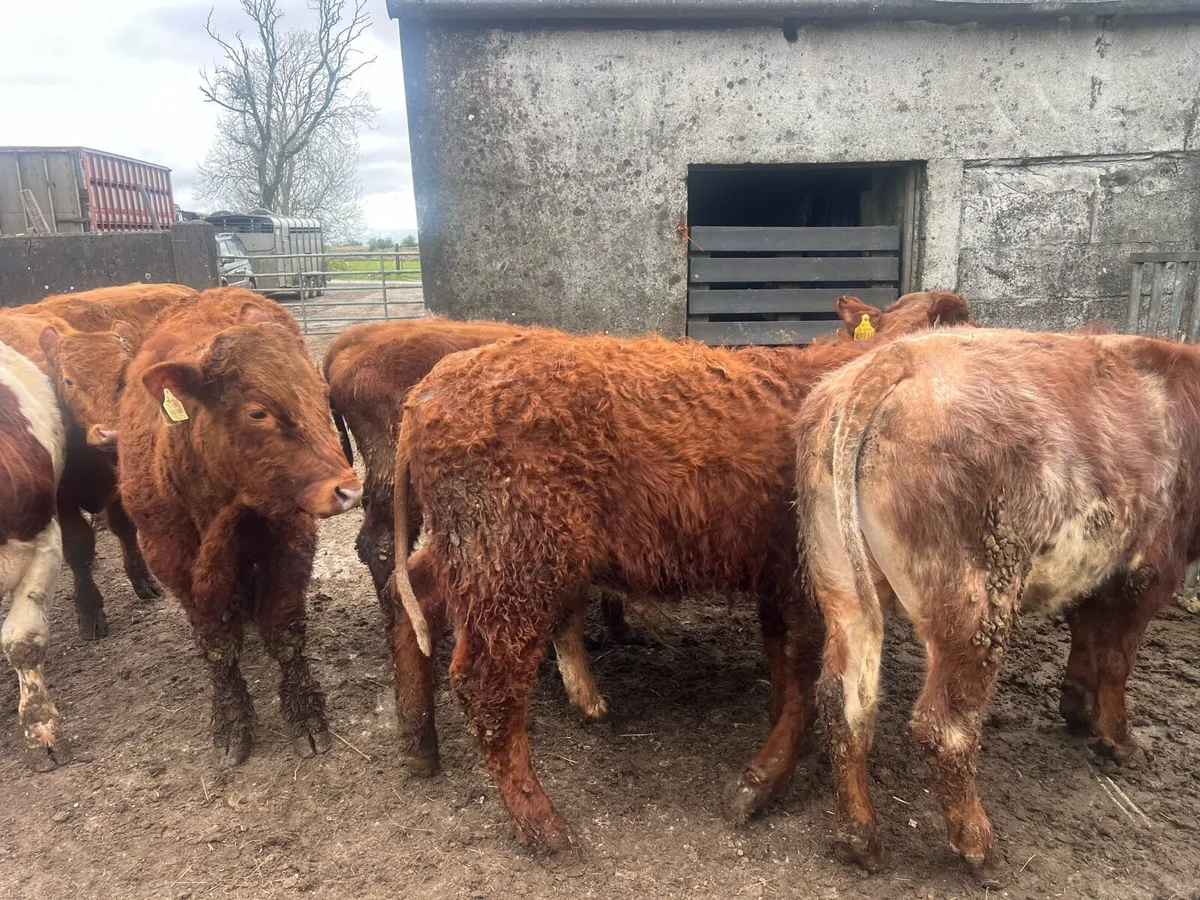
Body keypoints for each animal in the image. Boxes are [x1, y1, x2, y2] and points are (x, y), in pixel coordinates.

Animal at [118, 294, 363, 765]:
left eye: (322, 398)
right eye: (257, 412)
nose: (348, 490)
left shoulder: (290, 542)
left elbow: (284, 633)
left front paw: (305, 717)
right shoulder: (170, 559)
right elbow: (217, 644)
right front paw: (231, 722)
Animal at [388, 292, 975, 853]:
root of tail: (427, 392)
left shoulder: (777, 577)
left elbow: (784, 667)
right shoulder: (808, 578)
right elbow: (804, 676)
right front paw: (765, 782)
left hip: (469, 555)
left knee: (411, 598)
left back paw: (419, 743)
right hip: (512, 564)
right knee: (485, 684)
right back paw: (544, 827)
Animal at [794, 327, 1199, 880]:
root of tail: (898, 356)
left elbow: (1087, 637)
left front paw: (1077, 709)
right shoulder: (1148, 570)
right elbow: (1117, 660)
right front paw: (1120, 741)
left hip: (844, 590)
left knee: (844, 701)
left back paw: (861, 839)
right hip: (976, 600)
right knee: (945, 727)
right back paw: (980, 849)